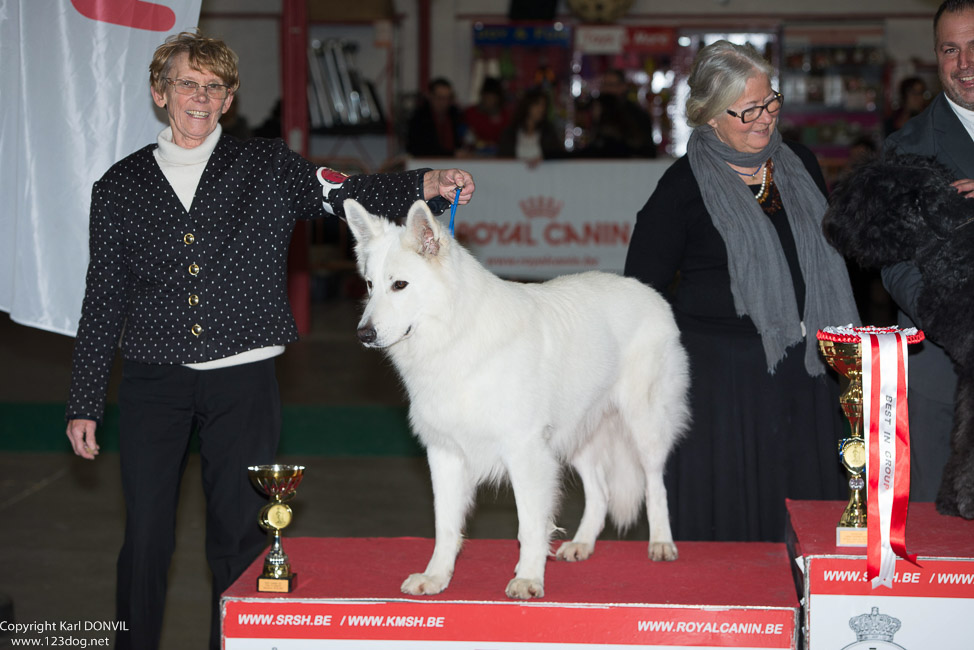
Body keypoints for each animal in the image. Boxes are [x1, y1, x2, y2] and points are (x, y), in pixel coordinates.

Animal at [346, 196, 692, 596]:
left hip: (643, 424)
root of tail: (648, 291)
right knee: (600, 492)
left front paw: (528, 577)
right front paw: (436, 577)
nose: (363, 334)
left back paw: (661, 542)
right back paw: (582, 544)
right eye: (370, 285)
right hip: (576, 435)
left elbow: (529, 524)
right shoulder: (446, 453)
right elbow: (445, 525)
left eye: (400, 285)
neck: (456, 335)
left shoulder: (524, 451)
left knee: (654, 483)